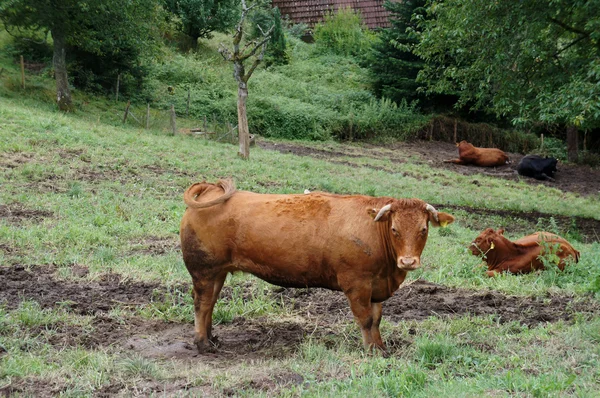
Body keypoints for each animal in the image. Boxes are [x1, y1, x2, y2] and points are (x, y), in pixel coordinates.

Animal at [179, 180, 454, 354]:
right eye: (395, 229)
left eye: (423, 229)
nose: (408, 261)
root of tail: (210, 189)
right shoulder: (357, 283)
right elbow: (365, 319)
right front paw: (371, 351)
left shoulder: (376, 286)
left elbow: (376, 319)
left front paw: (381, 347)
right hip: (204, 270)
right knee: (202, 305)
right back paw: (203, 344)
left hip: (217, 272)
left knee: (210, 304)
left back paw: (212, 339)